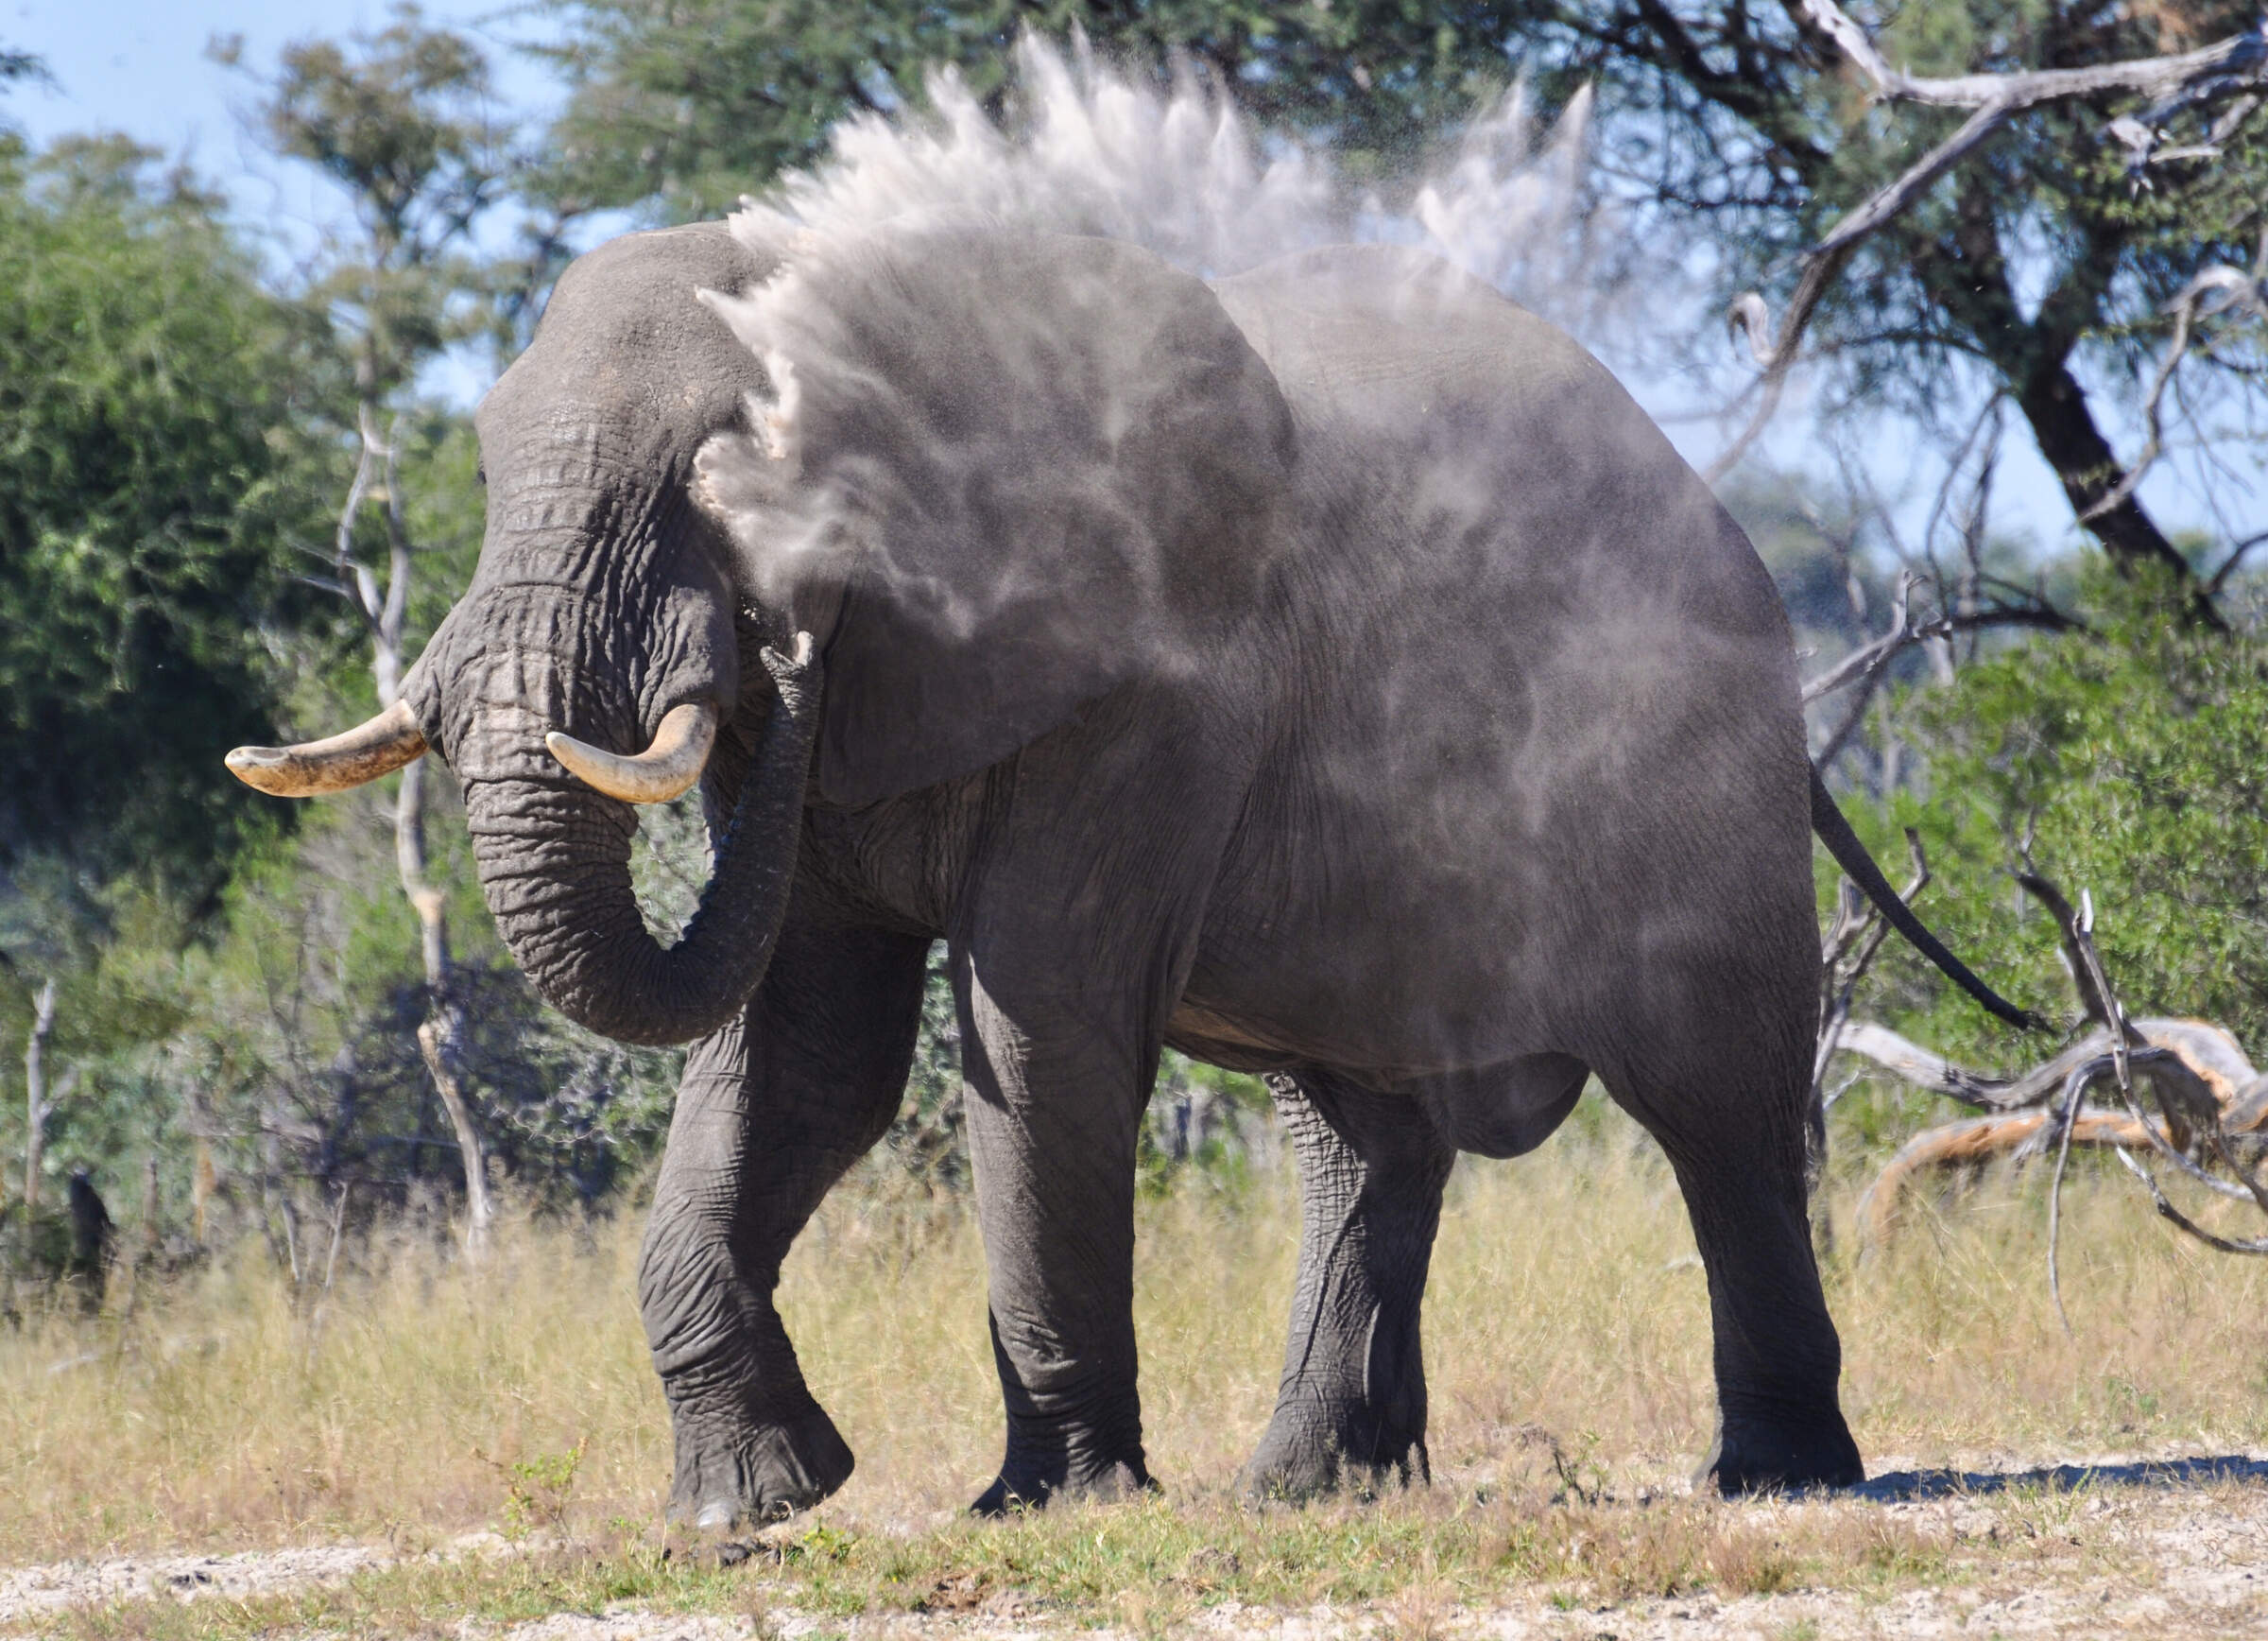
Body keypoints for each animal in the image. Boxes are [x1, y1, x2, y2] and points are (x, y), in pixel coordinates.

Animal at [234, 212, 2041, 1525]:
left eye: (713, 476)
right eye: (483, 464)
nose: (787, 629)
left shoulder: (1152, 689)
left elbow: (1034, 1039)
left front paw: (1051, 1508)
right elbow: (808, 1051)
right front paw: (751, 1508)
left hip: (1692, 768)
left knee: (1717, 1102)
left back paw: (1777, 1478)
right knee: (1361, 1136)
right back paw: (1310, 1491)